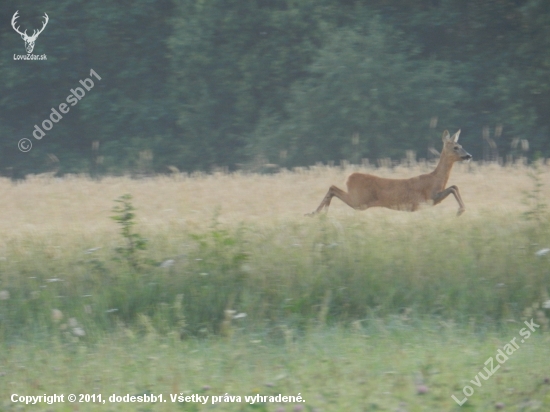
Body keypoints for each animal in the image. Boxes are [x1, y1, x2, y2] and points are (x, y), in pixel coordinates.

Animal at [310, 130, 474, 217]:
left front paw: (461, 210)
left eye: (461, 145)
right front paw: (460, 210)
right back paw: (316, 213)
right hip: (359, 200)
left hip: (358, 199)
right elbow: (453, 188)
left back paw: (318, 214)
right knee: (333, 188)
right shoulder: (429, 198)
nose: (469, 155)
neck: (436, 179)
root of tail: (349, 177)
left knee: (332, 188)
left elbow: (454, 186)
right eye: (456, 147)